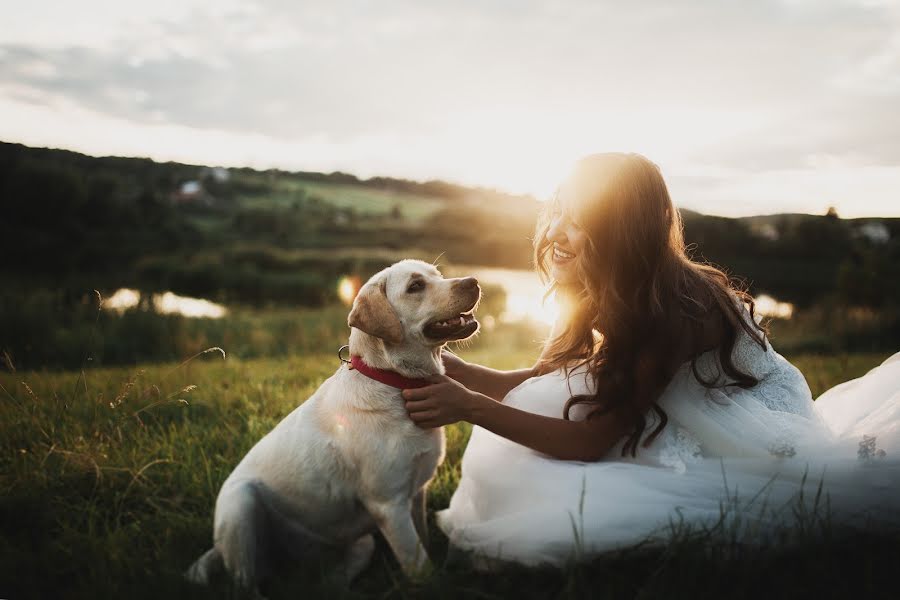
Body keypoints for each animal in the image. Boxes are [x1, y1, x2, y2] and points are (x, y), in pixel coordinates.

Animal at [187, 260, 482, 592]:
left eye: (438, 275)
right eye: (415, 286)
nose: (473, 281)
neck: (394, 381)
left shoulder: (416, 493)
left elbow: (424, 543)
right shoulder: (390, 505)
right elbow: (419, 564)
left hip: (360, 544)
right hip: (240, 504)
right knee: (245, 583)